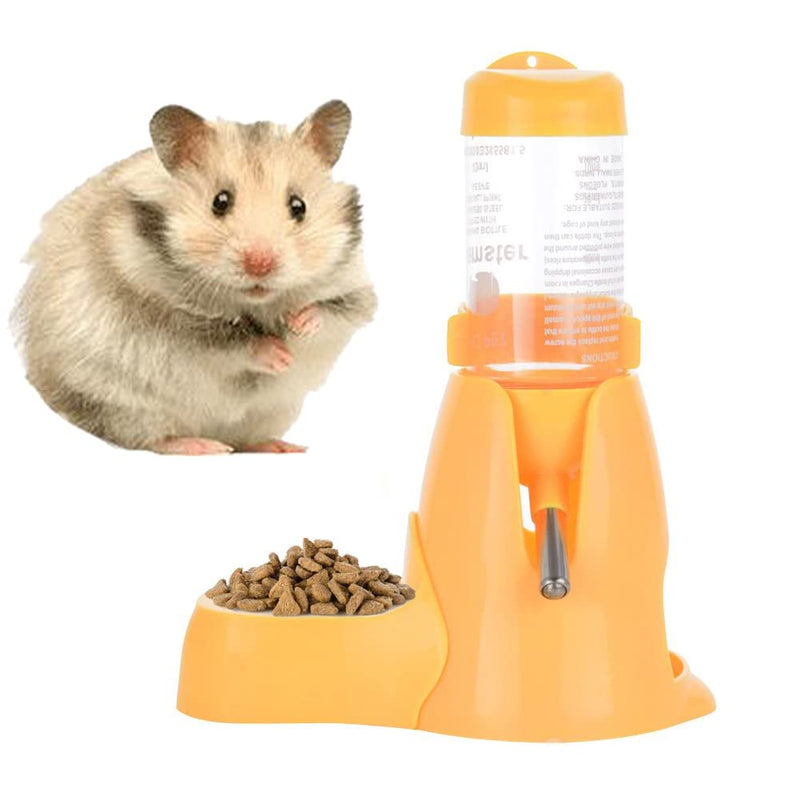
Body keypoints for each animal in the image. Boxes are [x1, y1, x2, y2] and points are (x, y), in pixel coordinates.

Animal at [13, 101, 376, 454]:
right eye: (220, 202)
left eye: (298, 206)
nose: (260, 264)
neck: (254, 303)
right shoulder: (169, 318)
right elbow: (230, 341)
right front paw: (280, 355)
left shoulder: (358, 292)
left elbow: (336, 312)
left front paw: (300, 325)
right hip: (118, 403)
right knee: (147, 439)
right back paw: (203, 446)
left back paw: (282, 447)